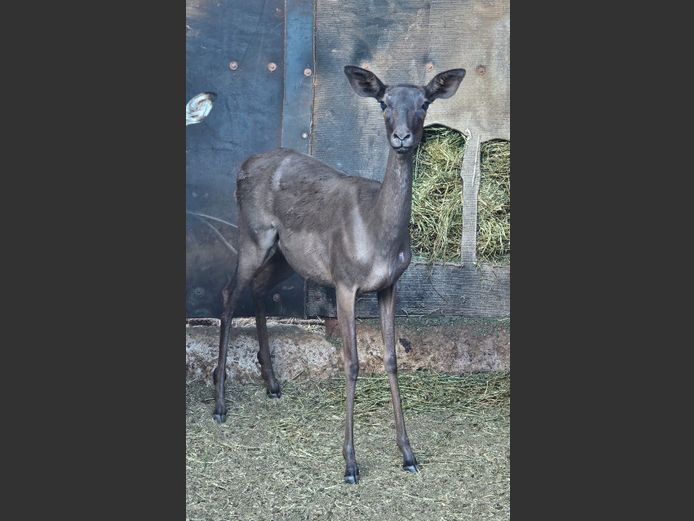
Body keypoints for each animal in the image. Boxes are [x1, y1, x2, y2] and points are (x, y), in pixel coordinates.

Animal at [213, 65, 466, 483]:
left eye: (424, 103)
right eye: (383, 102)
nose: (402, 137)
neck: (378, 235)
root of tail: (245, 163)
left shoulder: (388, 286)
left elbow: (391, 358)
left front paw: (409, 455)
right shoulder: (345, 283)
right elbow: (351, 362)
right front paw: (350, 464)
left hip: (287, 257)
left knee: (259, 288)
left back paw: (273, 384)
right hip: (252, 236)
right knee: (229, 292)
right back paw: (219, 405)